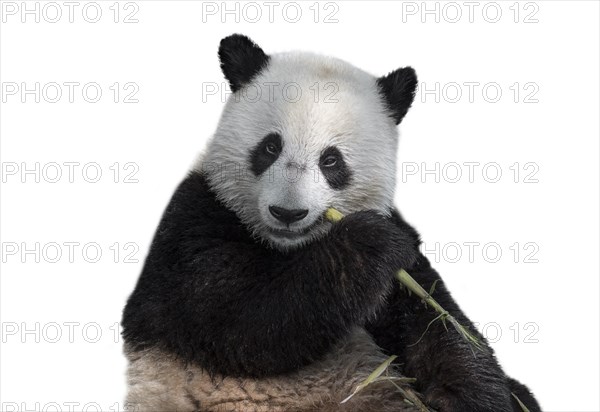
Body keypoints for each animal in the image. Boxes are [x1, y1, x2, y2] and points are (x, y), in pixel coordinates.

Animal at [120, 33, 540, 410]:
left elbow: (435, 319)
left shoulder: (403, 260)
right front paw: (369, 242)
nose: (288, 213)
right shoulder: (194, 224)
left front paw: (473, 395)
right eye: (270, 147)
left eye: (331, 160)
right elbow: (243, 323)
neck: (291, 249)